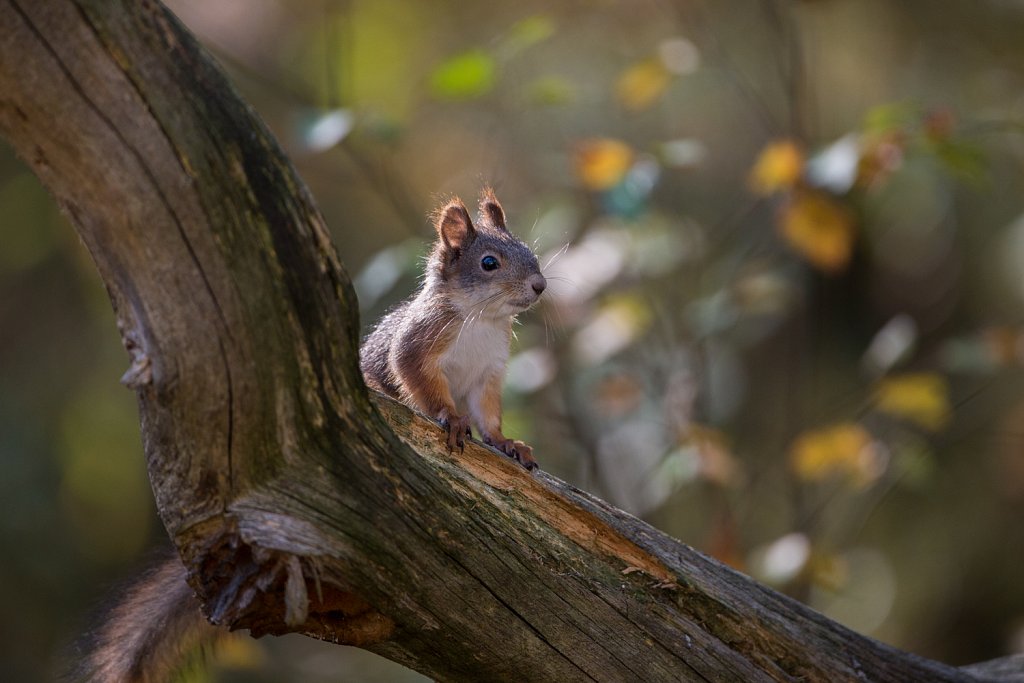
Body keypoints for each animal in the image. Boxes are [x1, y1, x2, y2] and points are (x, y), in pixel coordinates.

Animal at [364, 189, 548, 473]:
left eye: (529, 252)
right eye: (489, 262)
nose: (540, 284)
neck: (482, 320)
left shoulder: (488, 372)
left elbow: (487, 412)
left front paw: (505, 441)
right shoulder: (417, 346)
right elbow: (425, 386)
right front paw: (452, 418)